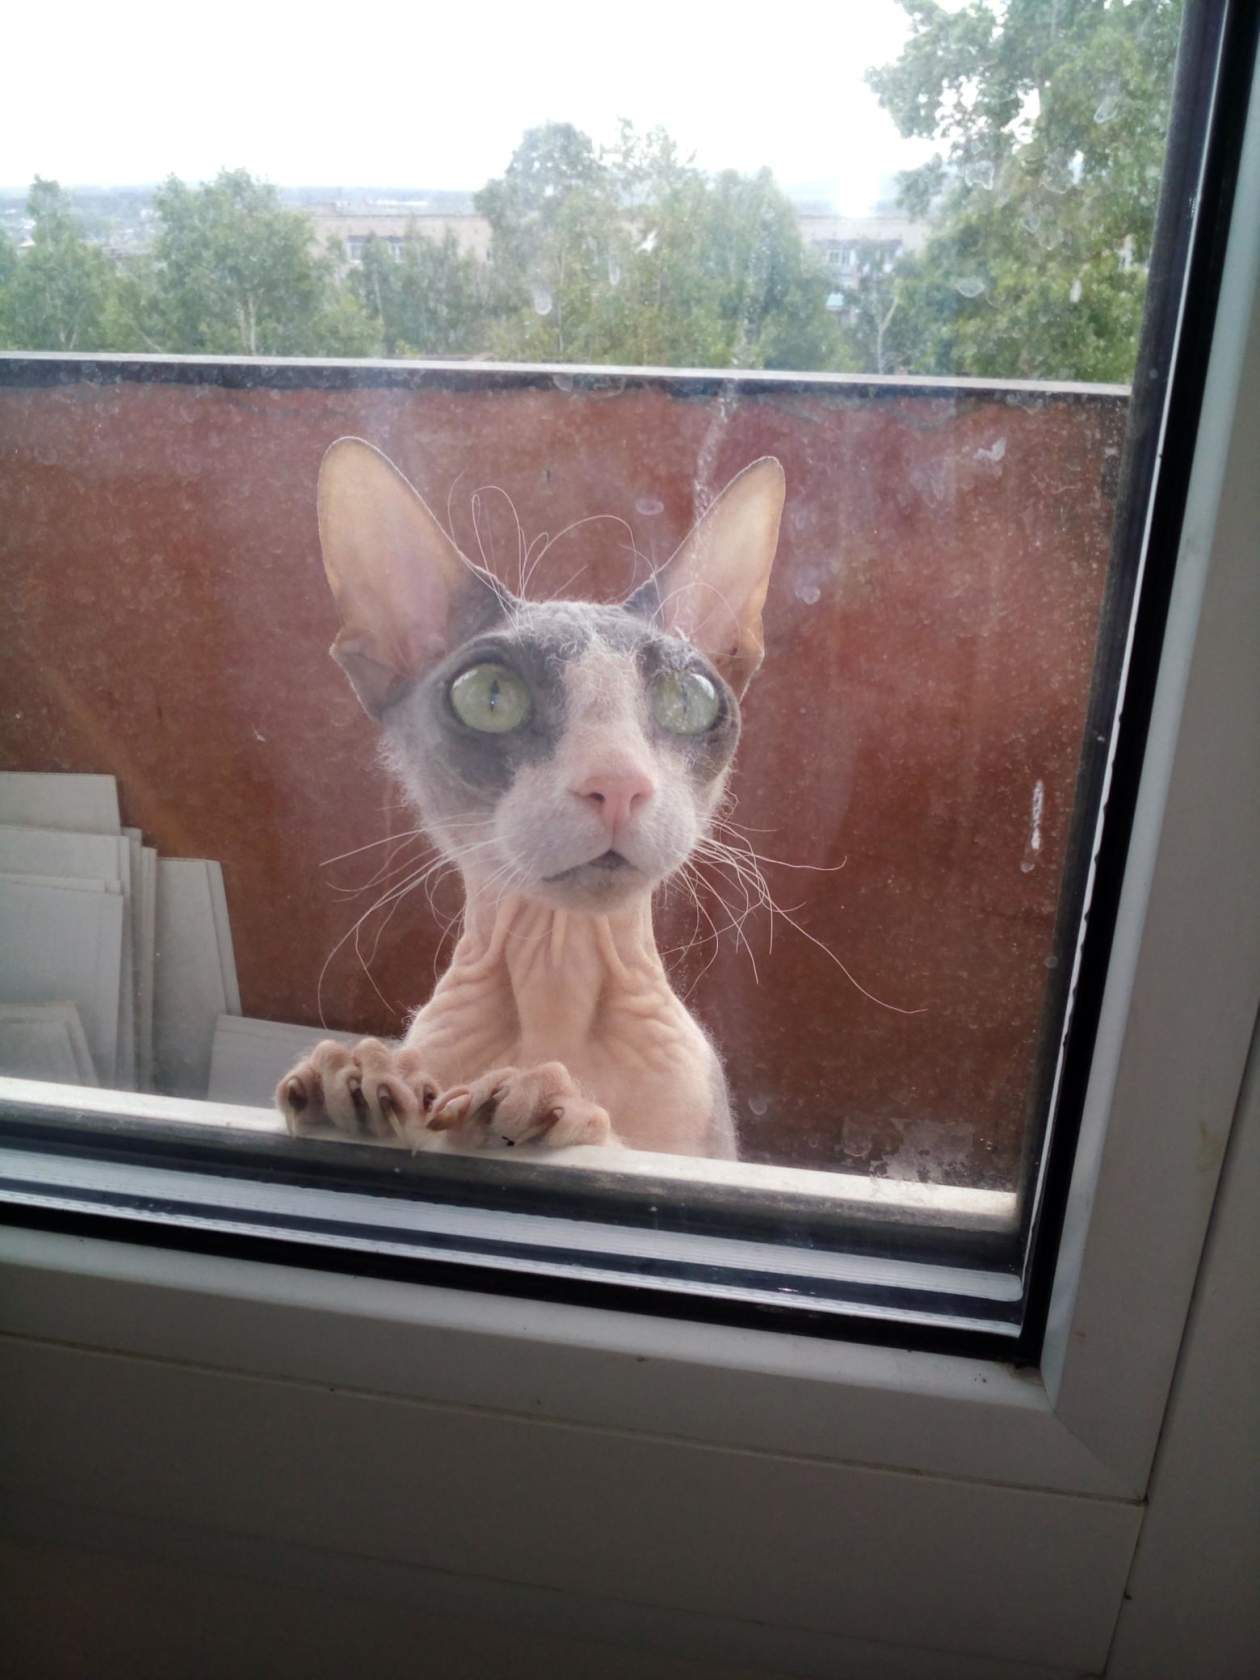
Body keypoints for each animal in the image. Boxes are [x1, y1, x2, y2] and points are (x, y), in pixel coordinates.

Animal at [278, 440, 779, 1162]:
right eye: (491, 696)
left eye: (689, 698)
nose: (618, 782)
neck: (556, 979)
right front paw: (356, 1076)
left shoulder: (706, 1158)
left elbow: (619, 1146)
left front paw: (544, 1103)